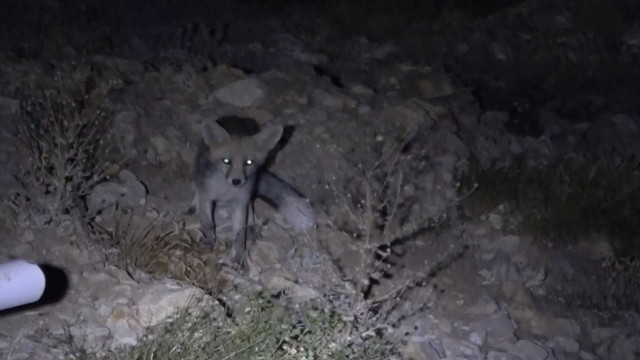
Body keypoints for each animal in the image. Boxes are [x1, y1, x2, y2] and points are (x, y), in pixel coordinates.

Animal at [186, 116, 316, 268]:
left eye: (248, 162)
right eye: (226, 161)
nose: (236, 181)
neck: (226, 192)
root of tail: (236, 117)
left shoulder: (240, 204)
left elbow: (239, 237)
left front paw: (239, 258)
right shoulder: (207, 196)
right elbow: (207, 223)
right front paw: (209, 242)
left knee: (251, 209)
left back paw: (252, 228)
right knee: (197, 190)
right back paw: (193, 206)